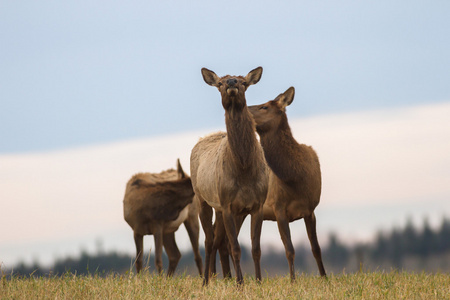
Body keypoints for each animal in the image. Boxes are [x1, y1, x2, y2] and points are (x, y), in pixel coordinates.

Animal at [190, 67, 268, 286]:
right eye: (220, 83)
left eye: (244, 82)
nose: (232, 82)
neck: (244, 169)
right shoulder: (227, 205)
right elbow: (236, 248)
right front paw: (240, 284)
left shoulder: (256, 205)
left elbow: (256, 249)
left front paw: (258, 282)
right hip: (203, 199)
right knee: (209, 240)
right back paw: (206, 281)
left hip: (227, 210)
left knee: (219, 240)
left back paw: (223, 277)